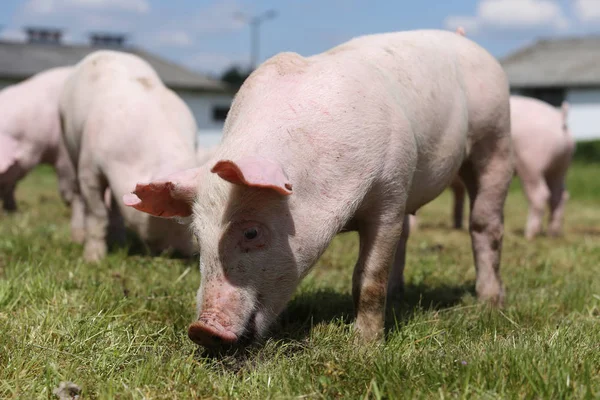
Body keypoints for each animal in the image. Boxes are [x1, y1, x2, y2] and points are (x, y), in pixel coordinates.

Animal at [62, 50, 200, 262]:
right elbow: (97, 213)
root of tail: (106, 52)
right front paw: (93, 260)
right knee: (77, 194)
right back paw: (78, 238)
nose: (181, 253)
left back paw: (119, 242)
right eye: (164, 213)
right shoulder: (89, 167)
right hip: (67, 140)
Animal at [124, 28, 512, 346]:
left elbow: (369, 277)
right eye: (198, 236)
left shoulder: (389, 192)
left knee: (485, 223)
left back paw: (489, 302)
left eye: (251, 232)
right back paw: (401, 295)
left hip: (495, 137)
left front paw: (364, 347)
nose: (202, 329)